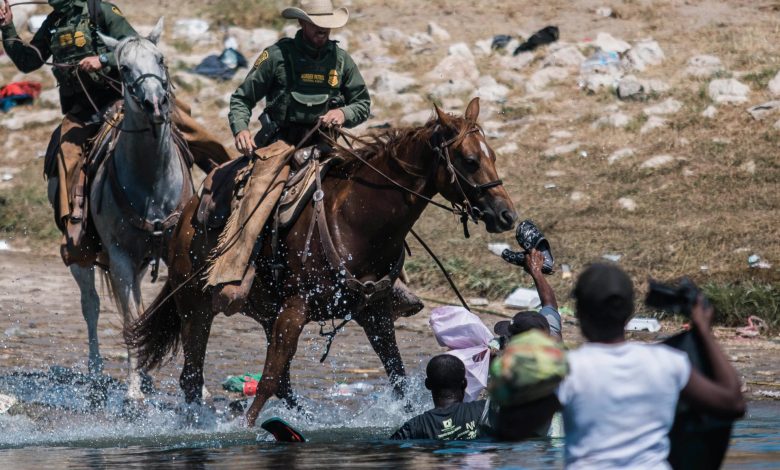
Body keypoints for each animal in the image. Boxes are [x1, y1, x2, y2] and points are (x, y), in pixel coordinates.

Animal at [48, 19, 190, 400]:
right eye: (124, 68)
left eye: (160, 58)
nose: (155, 104)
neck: (151, 181)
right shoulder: (120, 258)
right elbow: (129, 320)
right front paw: (133, 391)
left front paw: (196, 390)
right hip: (82, 256)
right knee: (92, 306)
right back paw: (98, 373)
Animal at [126, 98, 516, 426]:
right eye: (470, 160)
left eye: (494, 156)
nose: (507, 215)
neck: (356, 221)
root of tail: (186, 216)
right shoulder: (296, 309)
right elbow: (268, 379)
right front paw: (245, 428)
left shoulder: (374, 312)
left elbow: (398, 376)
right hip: (195, 306)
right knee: (193, 376)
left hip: (265, 312)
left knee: (280, 382)